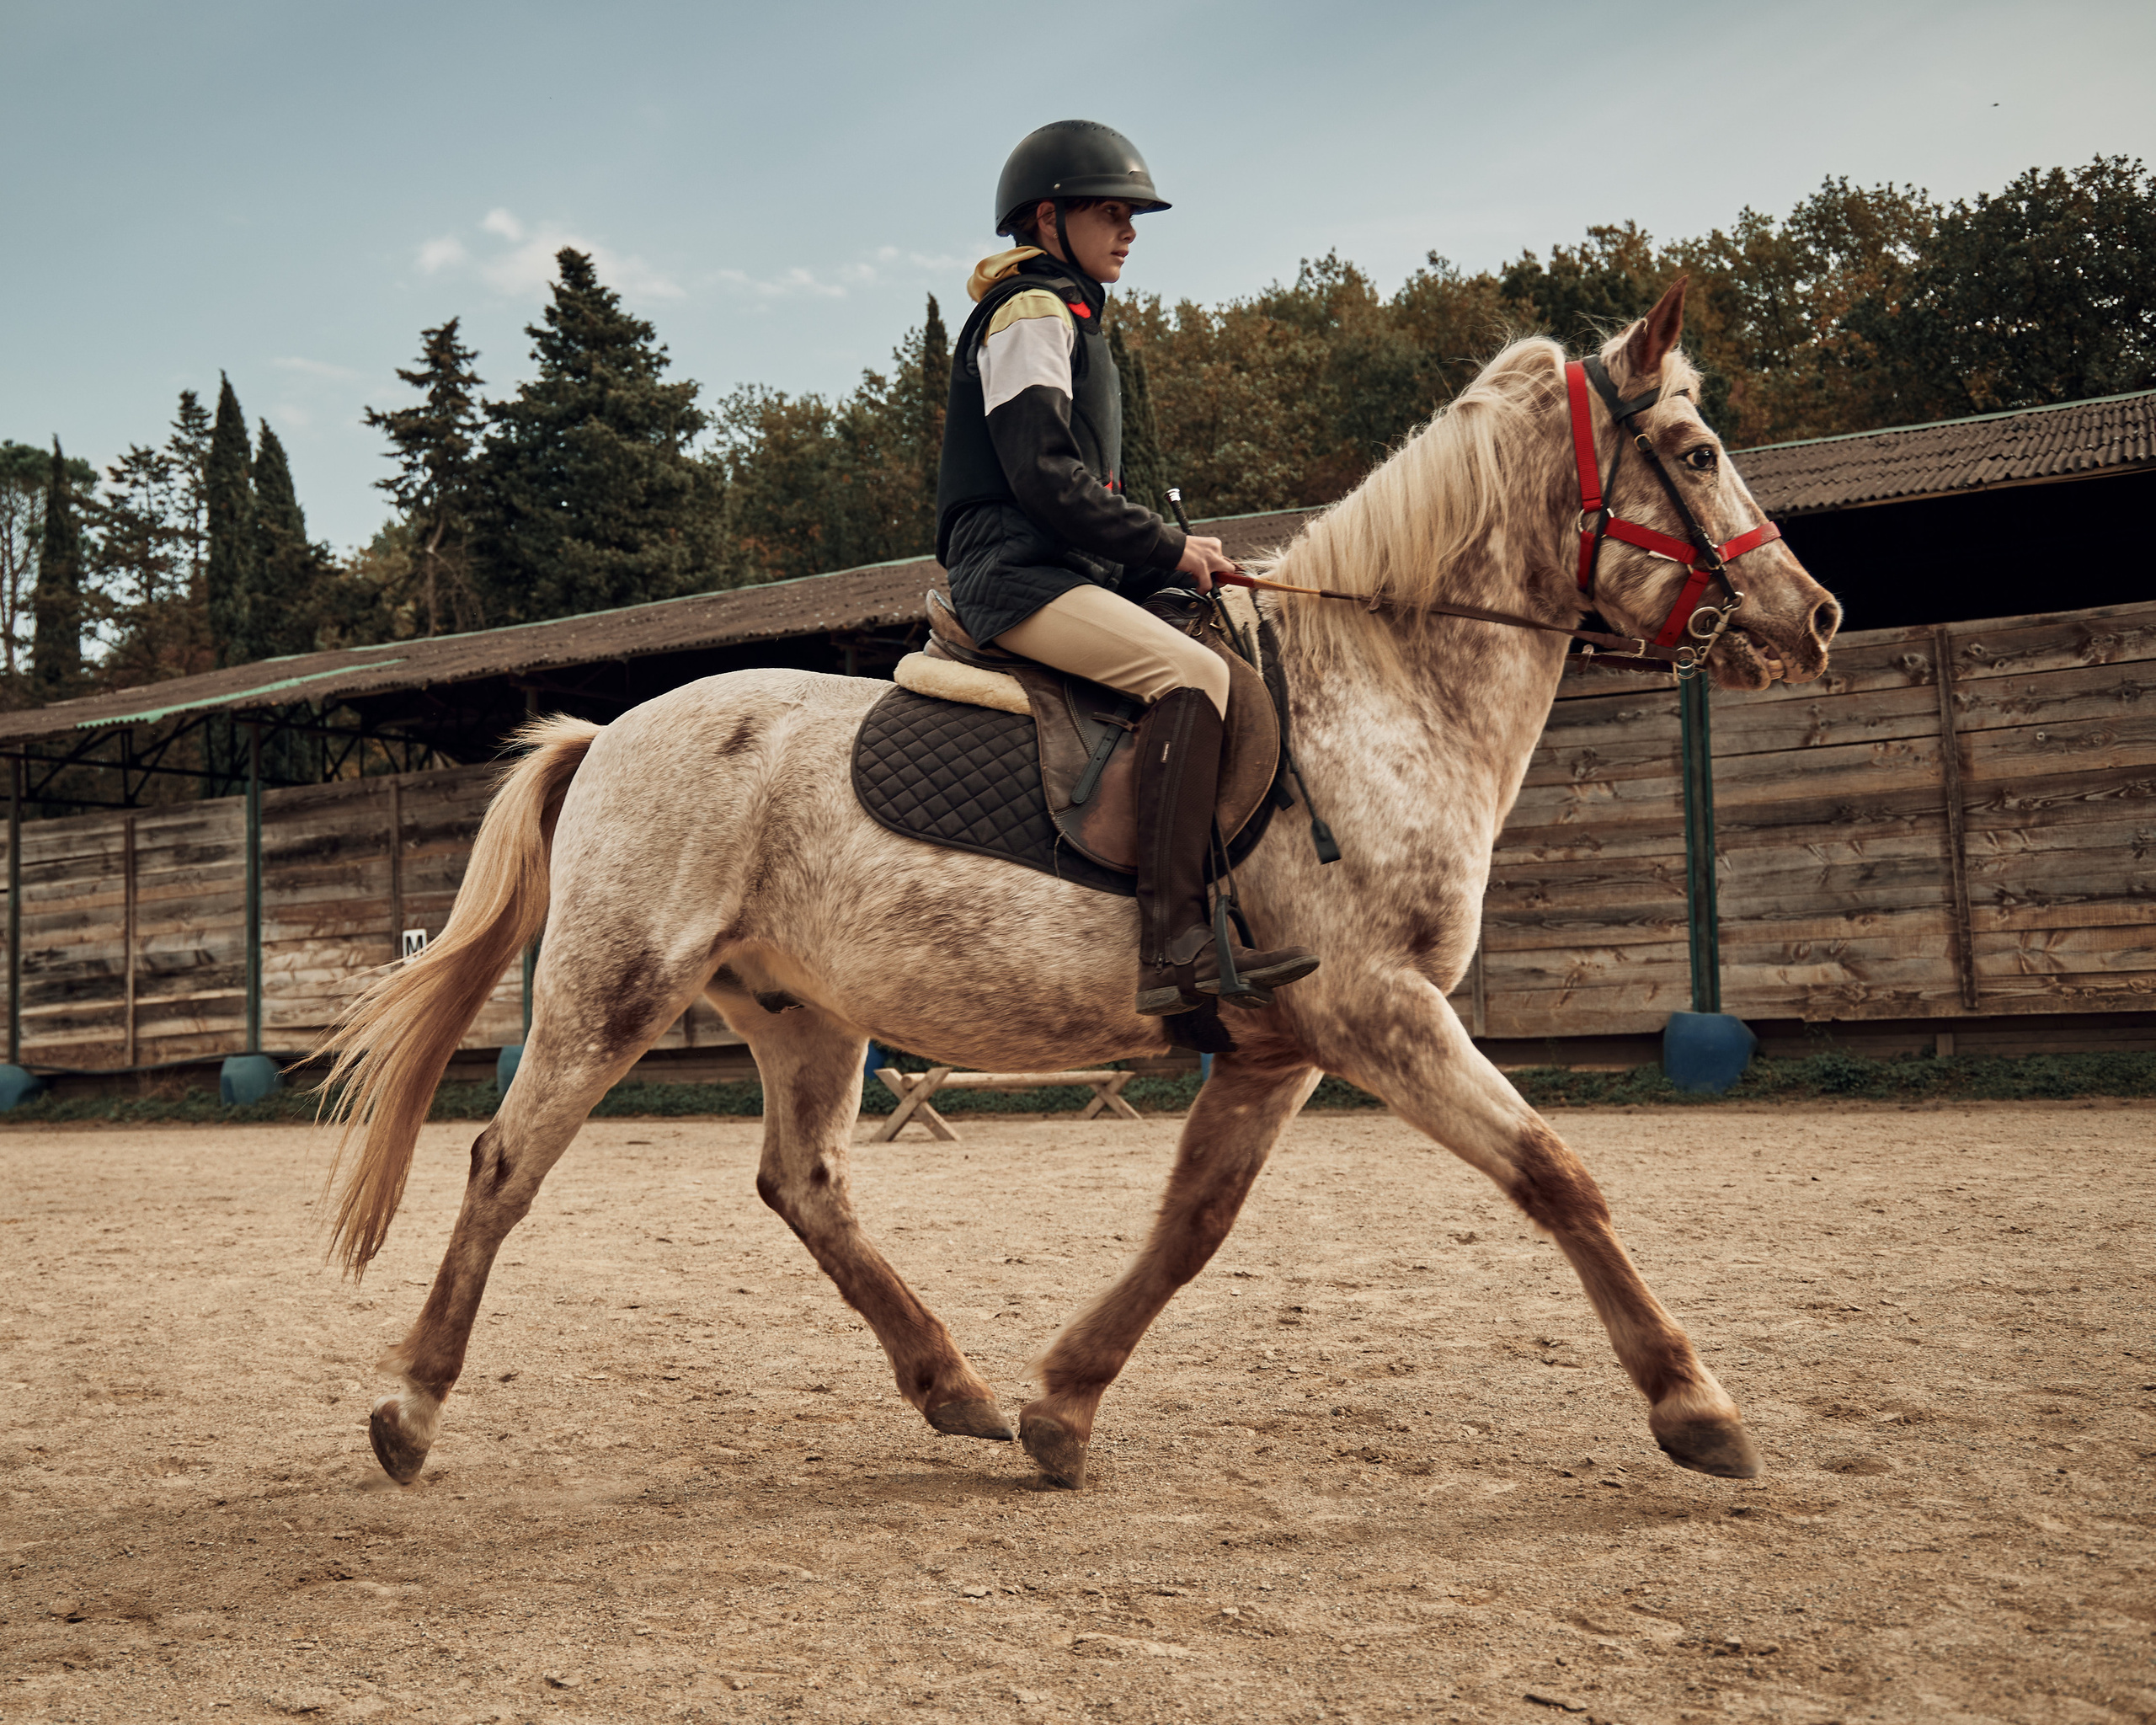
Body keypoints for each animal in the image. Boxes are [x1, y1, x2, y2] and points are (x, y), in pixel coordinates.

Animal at [321, 279, 1840, 1491]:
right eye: (1696, 451)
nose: (1815, 616)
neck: (1380, 694)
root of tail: (609, 731)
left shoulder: (1281, 1042)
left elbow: (1191, 1224)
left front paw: (1062, 1404)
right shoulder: (1377, 1008)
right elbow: (1556, 1176)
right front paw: (1696, 1407)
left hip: (806, 1015)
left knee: (806, 1184)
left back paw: (957, 1388)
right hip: (614, 989)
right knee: (507, 1162)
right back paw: (406, 1407)